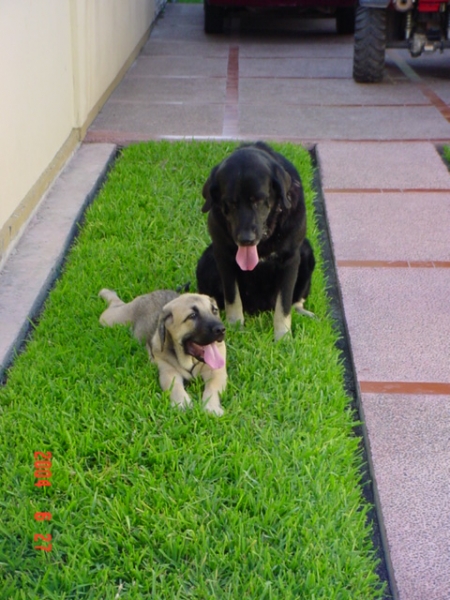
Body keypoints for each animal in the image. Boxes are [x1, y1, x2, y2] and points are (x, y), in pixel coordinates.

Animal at [97, 288, 225, 414]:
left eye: (214, 311)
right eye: (192, 315)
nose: (221, 329)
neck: (189, 360)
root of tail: (152, 292)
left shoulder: (216, 372)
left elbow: (212, 388)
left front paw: (211, 407)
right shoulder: (169, 372)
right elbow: (175, 387)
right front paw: (182, 403)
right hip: (113, 318)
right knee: (115, 305)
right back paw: (106, 292)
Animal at [195, 139, 314, 338]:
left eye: (258, 200)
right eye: (230, 203)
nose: (246, 239)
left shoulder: (290, 258)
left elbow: (284, 304)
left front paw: (283, 337)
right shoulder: (223, 254)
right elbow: (233, 298)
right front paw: (236, 328)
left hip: (307, 252)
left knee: (295, 300)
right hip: (207, 259)